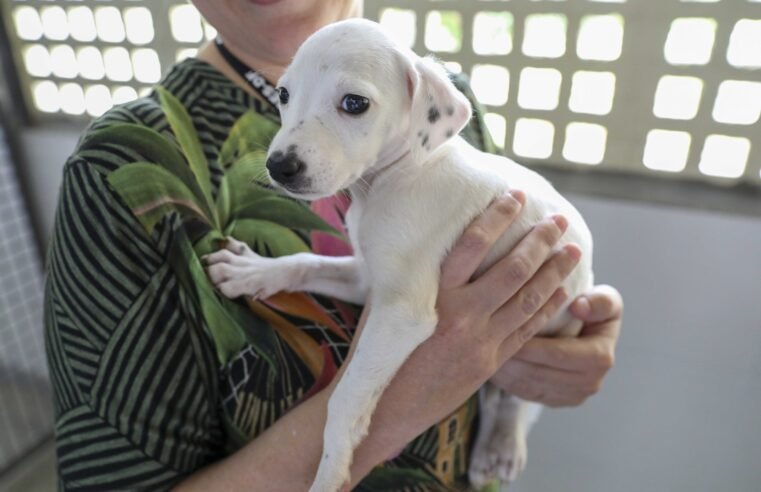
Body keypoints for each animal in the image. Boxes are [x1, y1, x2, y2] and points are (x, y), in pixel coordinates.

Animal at [206, 17, 592, 490]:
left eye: (354, 103)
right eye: (283, 95)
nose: (279, 166)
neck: (396, 177)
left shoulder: (402, 312)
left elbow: (346, 396)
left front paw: (332, 467)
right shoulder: (367, 278)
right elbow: (304, 262)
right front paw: (251, 271)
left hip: (555, 329)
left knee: (517, 402)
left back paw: (500, 444)